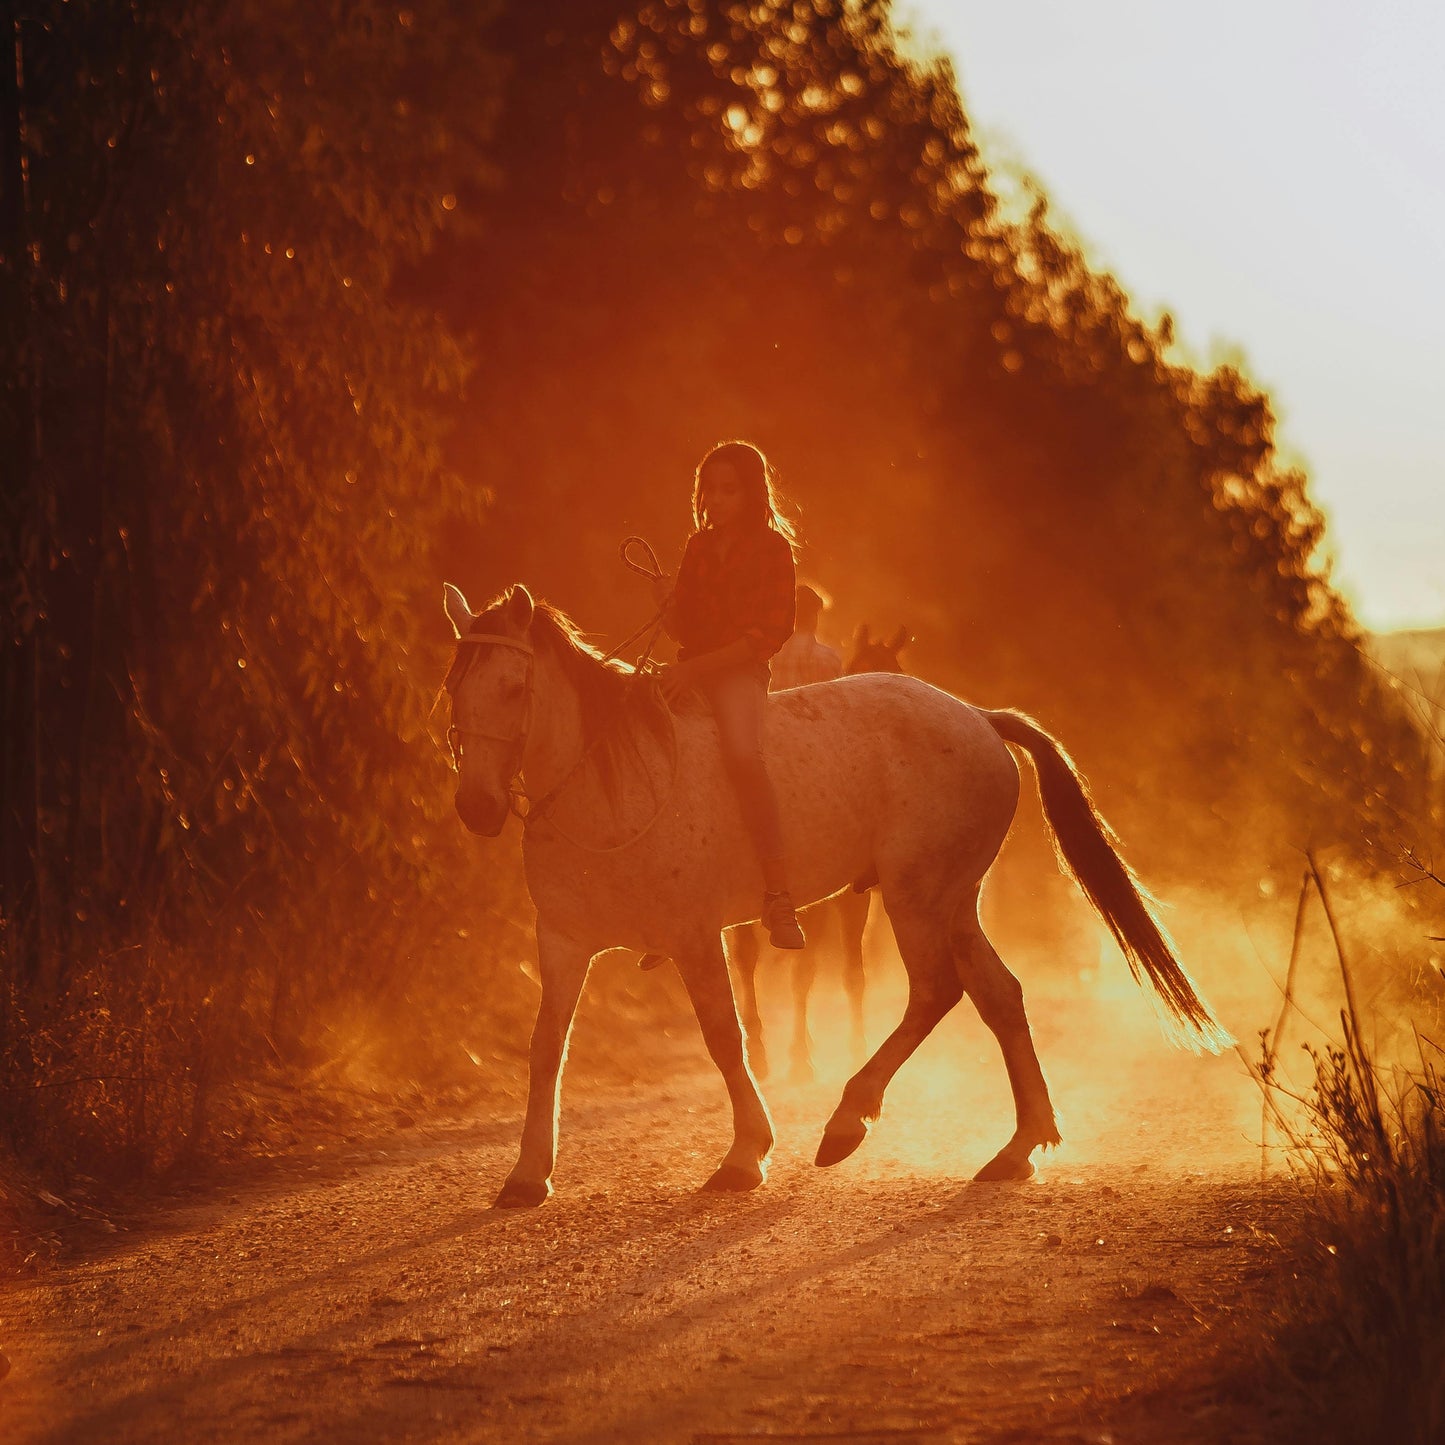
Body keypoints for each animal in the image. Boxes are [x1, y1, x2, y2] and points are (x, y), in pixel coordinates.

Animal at [442, 583, 1231, 1208]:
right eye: (455, 687)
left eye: (512, 687)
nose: (476, 807)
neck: (609, 784)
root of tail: (978, 717)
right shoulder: (562, 942)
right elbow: (547, 1047)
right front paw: (527, 1175)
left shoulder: (695, 935)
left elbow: (724, 1037)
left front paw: (744, 1156)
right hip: (952, 901)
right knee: (999, 996)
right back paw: (1016, 1149)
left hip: (915, 896)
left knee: (934, 992)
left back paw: (848, 1119)